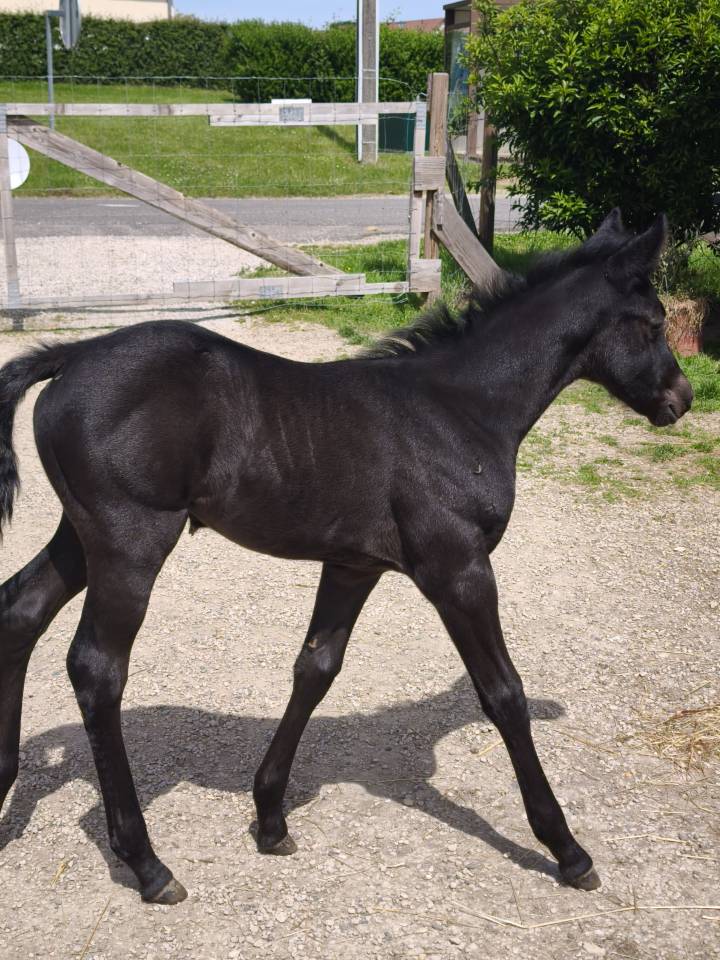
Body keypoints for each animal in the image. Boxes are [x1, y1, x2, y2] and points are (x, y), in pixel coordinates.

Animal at [0, 209, 693, 904]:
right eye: (654, 323)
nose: (681, 398)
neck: (460, 408)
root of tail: (72, 355)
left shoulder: (353, 565)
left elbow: (316, 669)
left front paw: (270, 818)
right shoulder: (458, 569)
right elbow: (504, 694)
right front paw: (567, 849)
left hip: (81, 537)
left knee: (20, 612)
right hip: (131, 541)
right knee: (96, 669)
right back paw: (147, 863)